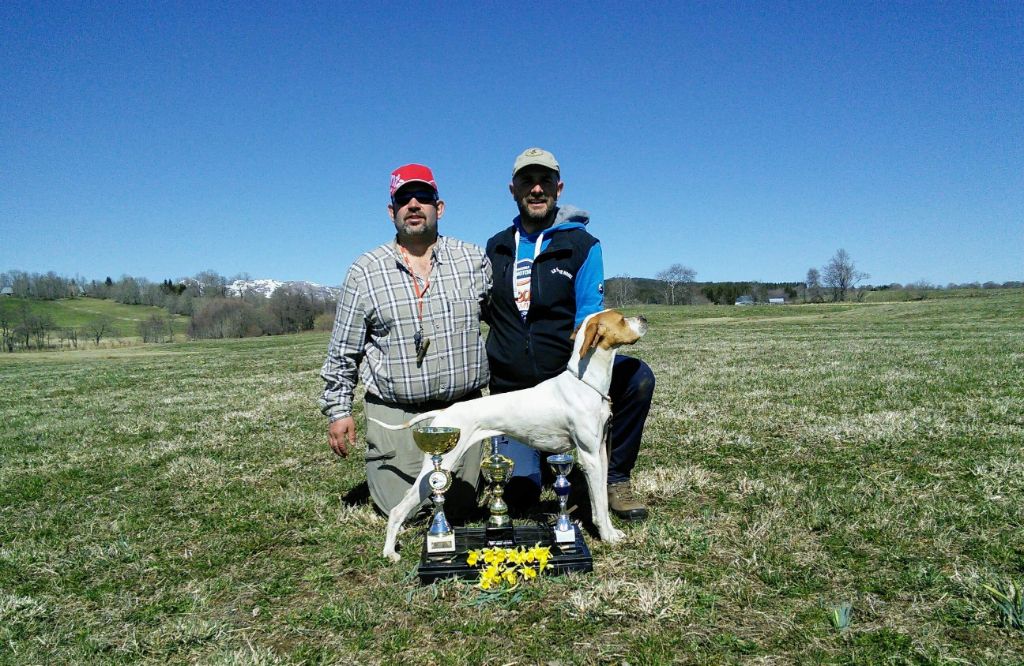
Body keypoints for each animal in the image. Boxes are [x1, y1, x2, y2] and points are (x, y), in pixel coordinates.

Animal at [374, 309, 647, 557]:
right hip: (440, 465)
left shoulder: (599, 453)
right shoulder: (589, 457)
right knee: (399, 509)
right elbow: (597, 502)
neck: (584, 382)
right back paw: (390, 552)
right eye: (621, 319)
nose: (643, 318)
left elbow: (602, 498)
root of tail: (444, 413)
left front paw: (611, 531)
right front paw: (607, 536)